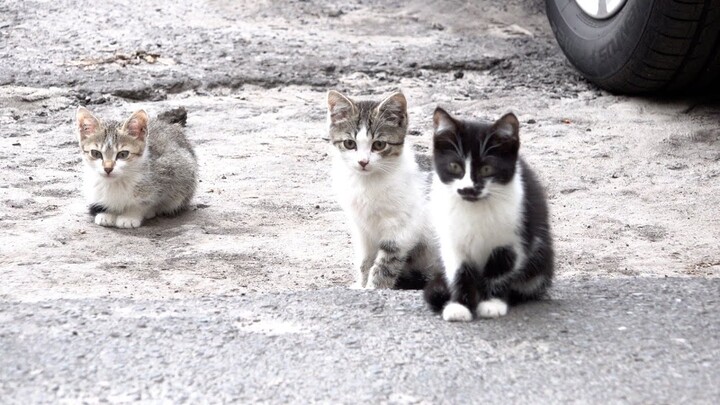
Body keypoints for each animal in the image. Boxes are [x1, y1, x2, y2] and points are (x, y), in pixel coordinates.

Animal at [324, 90, 438, 288]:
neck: (367, 183)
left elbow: (385, 264)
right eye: (349, 143)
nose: (363, 162)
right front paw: (361, 286)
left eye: (379, 145)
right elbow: (364, 261)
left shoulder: (401, 230)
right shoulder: (361, 229)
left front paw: (374, 287)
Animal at [424, 108, 556, 322]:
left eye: (487, 169)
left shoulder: (513, 239)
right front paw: (460, 305)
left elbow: (499, 271)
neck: (474, 208)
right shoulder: (453, 241)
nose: (468, 189)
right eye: (455, 167)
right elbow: (460, 272)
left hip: (540, 260)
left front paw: (491, 303)